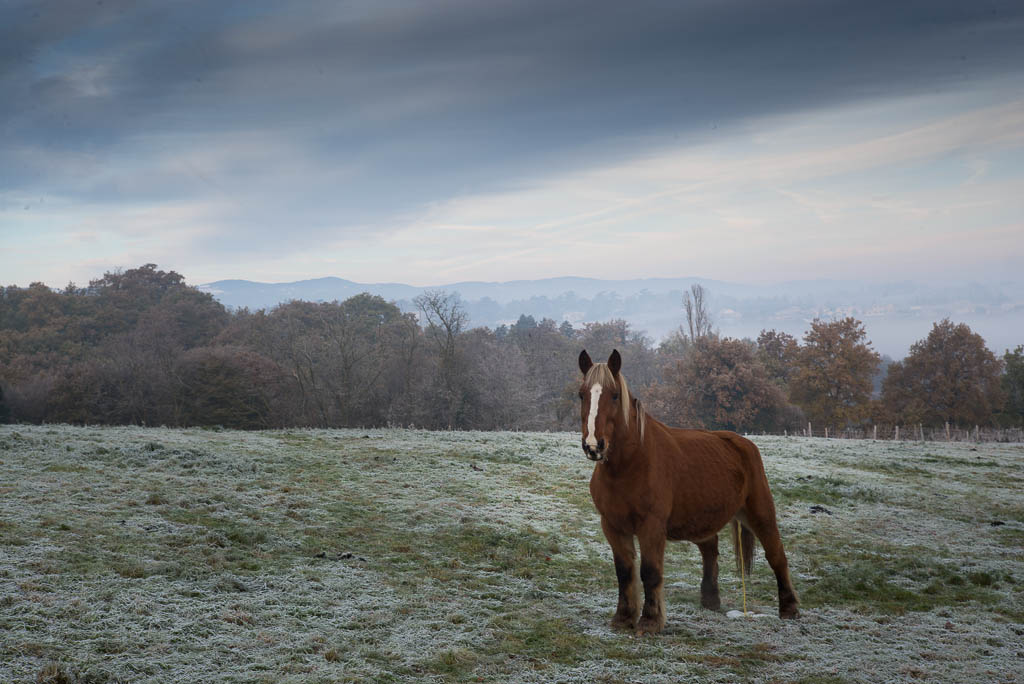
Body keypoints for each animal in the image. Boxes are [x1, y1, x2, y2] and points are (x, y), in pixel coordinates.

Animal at [577, 349, 799, 634]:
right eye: (582, 394)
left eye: (614, 395)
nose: (594, 445)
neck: (631, 464)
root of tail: (743, 443)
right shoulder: (613, 526)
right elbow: (624, 572)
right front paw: (623, 618)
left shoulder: (651, 526)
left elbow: (650, 571)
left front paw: (650, 620)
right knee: (710, 550)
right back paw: (710, 600)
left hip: (761, 513)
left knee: (777, 556)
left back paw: (789, 608)